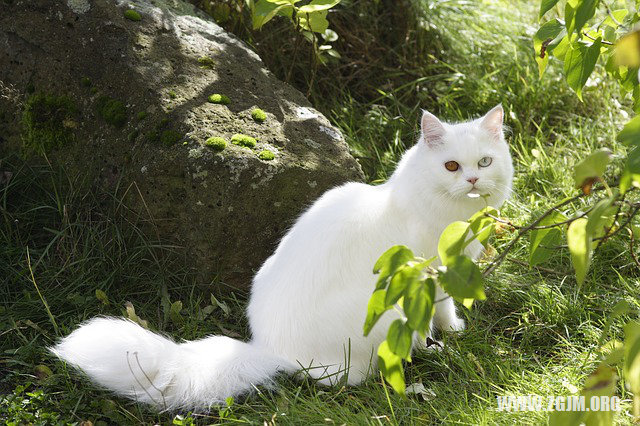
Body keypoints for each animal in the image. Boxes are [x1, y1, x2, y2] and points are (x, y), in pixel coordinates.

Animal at [51, 103, 516, 410]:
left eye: (484, 162)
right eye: (452, 166)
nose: (472, 180)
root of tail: (268, 348)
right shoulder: (432, 275)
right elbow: (441, 312)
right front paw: (447, 338)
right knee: (343, 378)